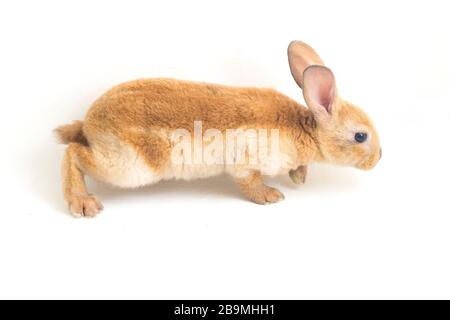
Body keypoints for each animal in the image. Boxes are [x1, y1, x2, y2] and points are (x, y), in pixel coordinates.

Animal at [54, 40, 382, 218]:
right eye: (360, 136)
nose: (379, 158)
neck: (306, 129)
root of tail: (89, 122)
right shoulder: (247, 162)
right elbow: (250, 183)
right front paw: (271, 196)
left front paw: (299, 177)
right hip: (129, 166)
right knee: (73, 154)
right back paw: (83, 203)